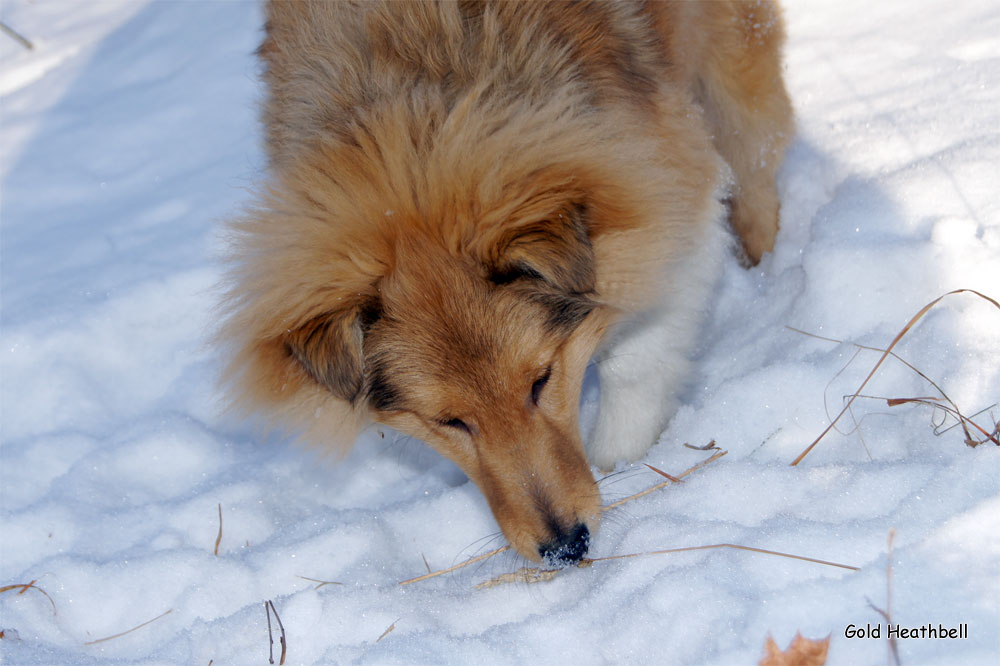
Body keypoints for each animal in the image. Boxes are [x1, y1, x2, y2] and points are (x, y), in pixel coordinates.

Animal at [223, 0, 792, 564]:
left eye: (541, 380)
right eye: (450, 421)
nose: (566, 547)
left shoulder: (660, 195)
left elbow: (635, 358)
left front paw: (621, 458)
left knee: (758, 158)